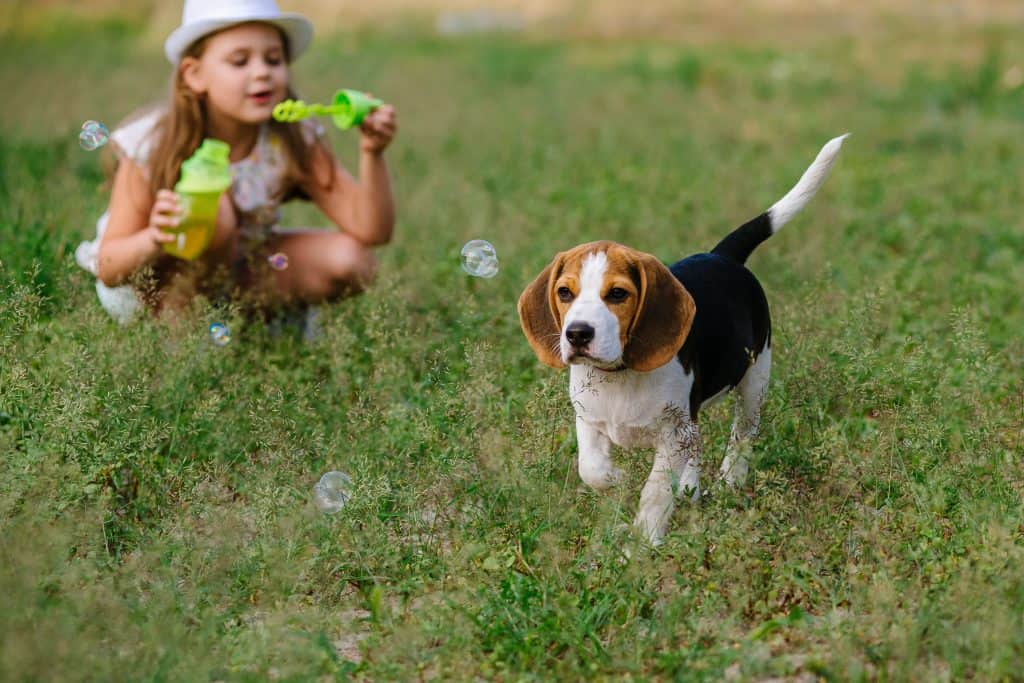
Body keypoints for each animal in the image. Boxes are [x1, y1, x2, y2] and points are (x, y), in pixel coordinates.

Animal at [520, 135, 847, 544]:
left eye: (617, 294)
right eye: (565, 293)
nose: (578, 333)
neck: (620, 374)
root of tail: (722, 256)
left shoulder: (672, 434)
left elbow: (656, 492)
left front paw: (642, 543)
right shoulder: (589, 418)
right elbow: (591, 468)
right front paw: (617, 479)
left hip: (755, 377)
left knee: (742, 435)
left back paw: (729, 481)